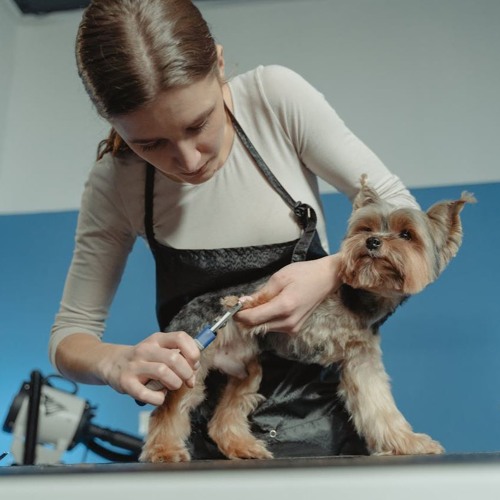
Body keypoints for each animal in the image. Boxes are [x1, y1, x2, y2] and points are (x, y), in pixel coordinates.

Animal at [140, 175, 472, 460]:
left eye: (406, 235)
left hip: (246, 368)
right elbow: (260, 296)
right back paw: (164, 451)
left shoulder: (361, 360)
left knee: (224, 416)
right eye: (365, 229)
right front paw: (237, 300)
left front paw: (409, 443)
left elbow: (380, 406)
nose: (373, 242)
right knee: (169, 409)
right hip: (189, 361)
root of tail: (184, 311)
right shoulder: (276, 292)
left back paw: (245, 448)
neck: (357, 296)